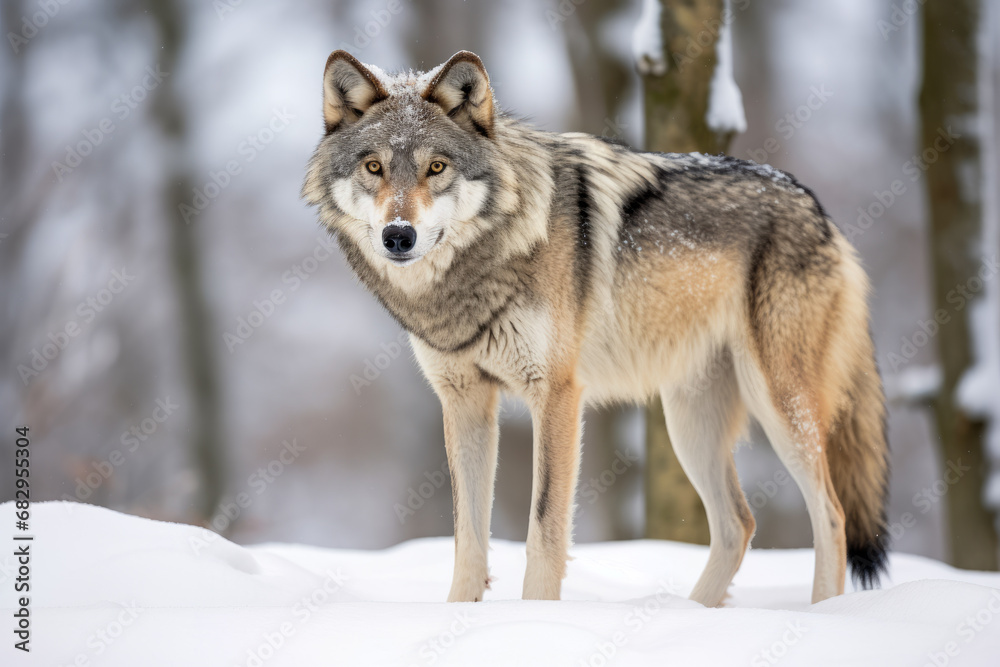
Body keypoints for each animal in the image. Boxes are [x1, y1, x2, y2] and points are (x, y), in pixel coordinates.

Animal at [300, 51, 888, 604]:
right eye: (374, 167)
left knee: (831, 514)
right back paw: (691, 616)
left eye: (437, 167)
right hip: (689, 422)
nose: (398, 235)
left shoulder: (557, 394)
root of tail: (818, 210)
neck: (473, 278)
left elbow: (544, 530)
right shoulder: (464, 399)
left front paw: (536, 618)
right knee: (738, 524)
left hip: (779, 403)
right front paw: (460, 616)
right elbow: (467, 538)